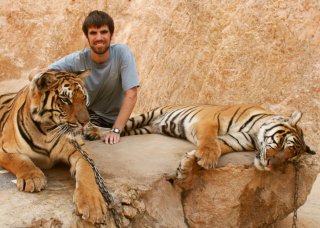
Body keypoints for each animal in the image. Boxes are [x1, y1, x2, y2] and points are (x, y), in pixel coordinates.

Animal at [0, 69, 107, 224]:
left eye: (84, 97)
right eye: (65, 100)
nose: (85, 122)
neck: (47, 131)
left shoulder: (80, 151)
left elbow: (87, 172)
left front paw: (93, 206)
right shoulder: (4, 149)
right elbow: (19, 160)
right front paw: (33, 178)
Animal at [84, 104, 316, 180]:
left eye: (288, 159)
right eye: (282, 144)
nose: (270, 165)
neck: (254, 134)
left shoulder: (232, 140)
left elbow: (216, 147)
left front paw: (187, 167)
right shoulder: (209, 120)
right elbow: (209, 141)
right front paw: (206, 158)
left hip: (145, 128)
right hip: (146, 116)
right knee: (118, 127)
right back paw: (91, 131)